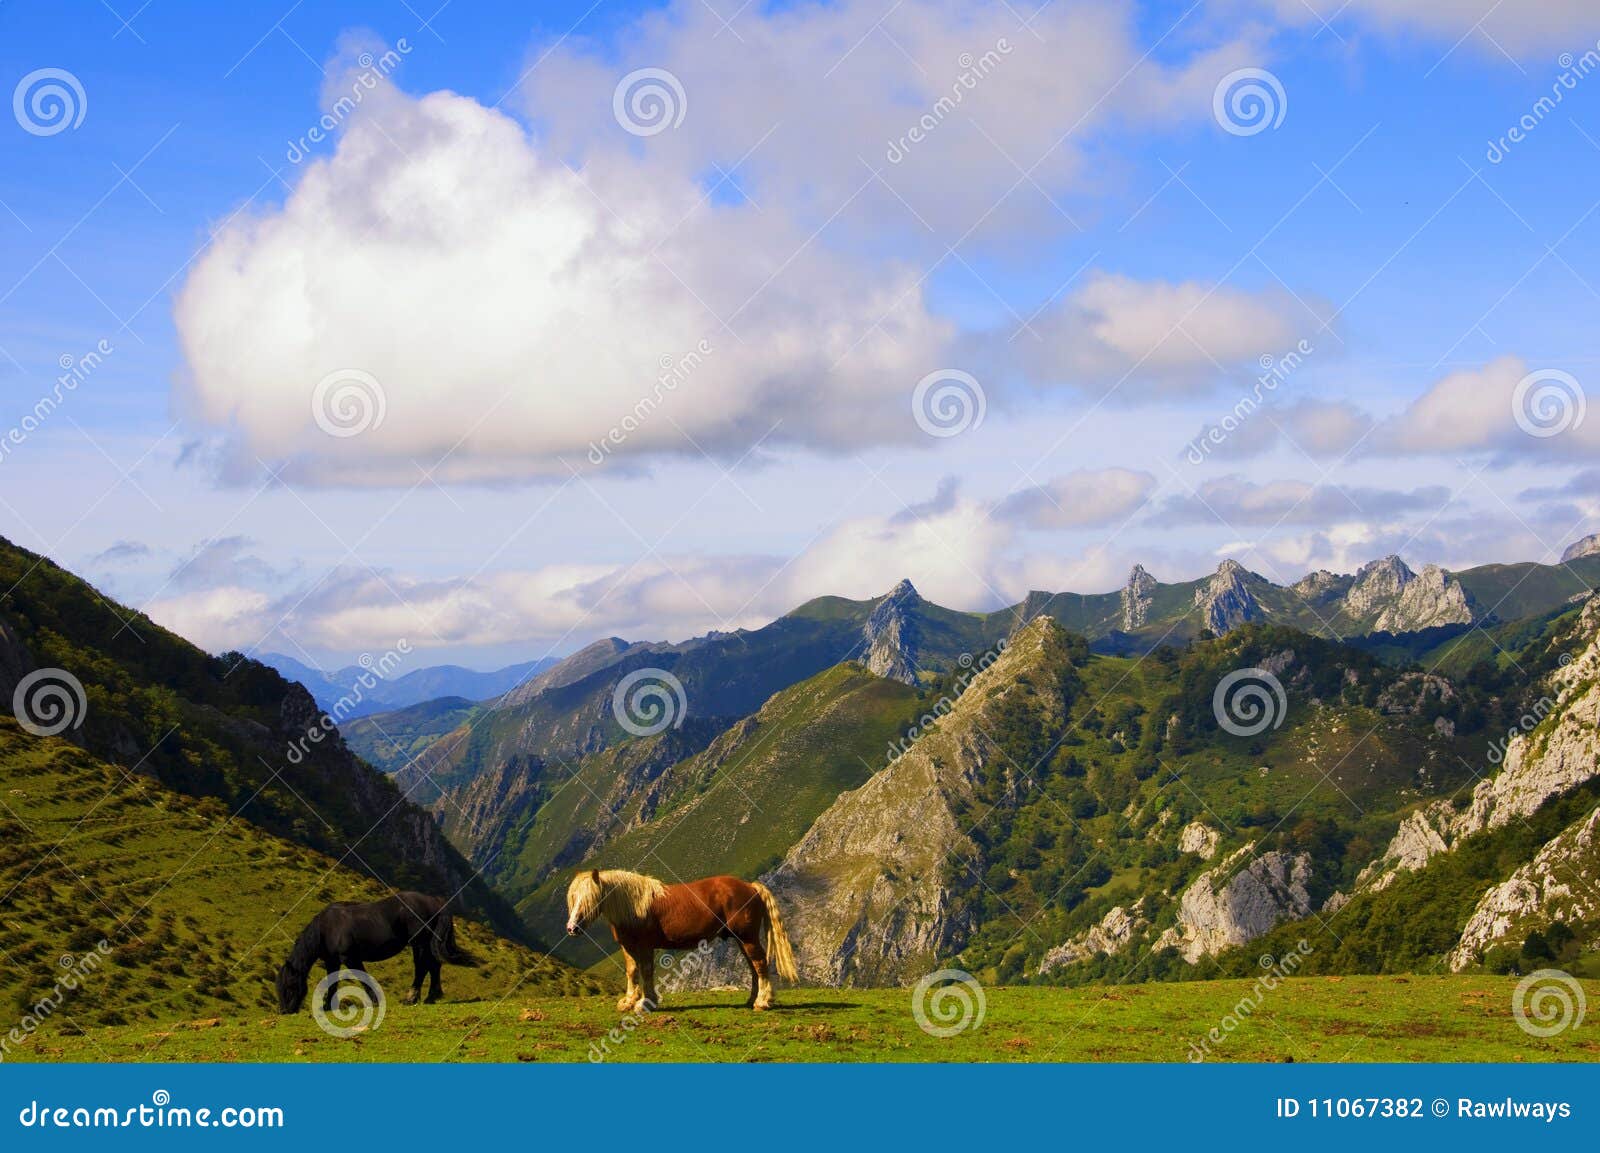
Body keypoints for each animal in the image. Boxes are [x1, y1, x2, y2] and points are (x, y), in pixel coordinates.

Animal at [272, 889, 464, 1010]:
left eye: (290, 985)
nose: (285, 1011)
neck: (327, 928)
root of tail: (434, 901)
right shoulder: (332, 961)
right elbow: (332, 982)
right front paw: (327, 1006)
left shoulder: (350, 958)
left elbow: (363, 978)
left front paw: (375, 1001)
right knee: (434, 966)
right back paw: (431, 997)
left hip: (419, 944)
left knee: (422, 968)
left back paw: (411, 998)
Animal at [566, 869, 800, 1010]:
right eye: (573, 898)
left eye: (590, 899)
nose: (571, 928)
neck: (634, 906)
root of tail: (751, 887)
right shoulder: (628, 947)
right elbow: (632, 972)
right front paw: (629, 1001)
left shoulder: (645, 946)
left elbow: (646, 971)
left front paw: (645, 1002)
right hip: (741, 940)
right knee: (753, 967)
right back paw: (752, 1000)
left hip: (747, 938)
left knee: (759, 963)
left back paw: (763, 1002)